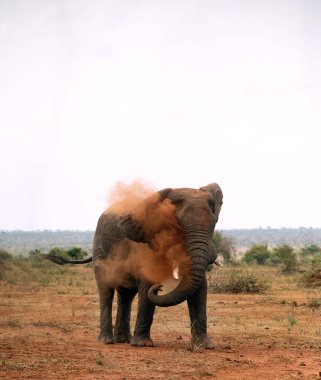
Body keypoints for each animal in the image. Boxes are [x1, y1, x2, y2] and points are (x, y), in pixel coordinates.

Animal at [43, 183, 221, 348]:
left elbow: (200, 289)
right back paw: (107, 341)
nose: (160, 287)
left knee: (126, 294)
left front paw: (204, 346)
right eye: (178, 225)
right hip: (100, 248)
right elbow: (148, 283)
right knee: (106, 291)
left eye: (213, 224)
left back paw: (123, 340)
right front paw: (143, 344)